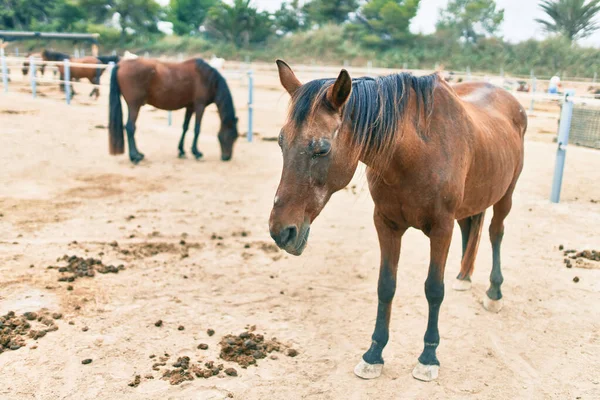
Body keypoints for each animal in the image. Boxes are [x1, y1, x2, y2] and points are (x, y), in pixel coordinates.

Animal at [108, 57, 239, 163]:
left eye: (236, 137)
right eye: (231, 135)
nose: (227, 157)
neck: (207, 78)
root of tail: (120, 64)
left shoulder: (190, 107)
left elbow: (185, 127)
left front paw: (181, 151)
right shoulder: (199, 106)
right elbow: (197, 129)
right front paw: (197, 153)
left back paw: (138, 154)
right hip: (134, 106)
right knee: (130, 127)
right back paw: (135, 157)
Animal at [270, 61, 528, 382]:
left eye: (322, 148)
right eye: (281, 142)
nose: (281, 232)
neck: (415, 153)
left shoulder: (441, 229)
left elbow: (434, 289)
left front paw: (428, 357)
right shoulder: (386, 224)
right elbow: (386, 286)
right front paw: (374, 354)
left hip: (507, 195)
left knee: (495, 233)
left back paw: (494, 292)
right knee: (472, 228)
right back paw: (464, 276)